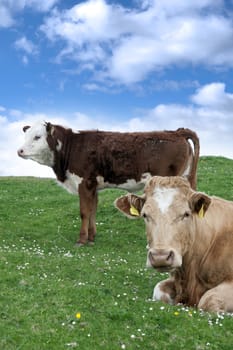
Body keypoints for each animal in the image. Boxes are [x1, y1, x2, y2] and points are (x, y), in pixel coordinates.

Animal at [18, 123, 199, 246]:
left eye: (37, 136)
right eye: (26, 136)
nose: (20, 151)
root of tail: (177, 132)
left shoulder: (84, 183)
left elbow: (84, 212)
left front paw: (81, 240)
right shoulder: (93, 186)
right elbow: (92, 211)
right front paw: (91, 238)